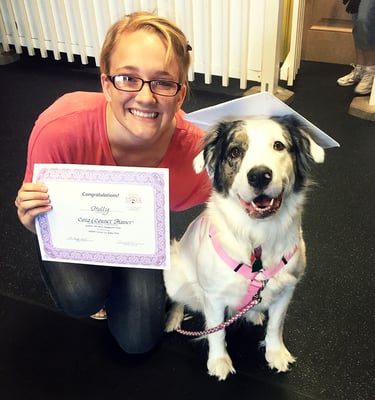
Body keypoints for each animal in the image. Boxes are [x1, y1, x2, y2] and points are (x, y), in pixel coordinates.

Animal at [164, 114, 326, 380]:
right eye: (235, 151)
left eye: (278, 145)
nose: (259, 175)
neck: (257, 236)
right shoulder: (214, 296)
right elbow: (217, 332)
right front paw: (219, 361)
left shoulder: (287, 289)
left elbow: (276, 325)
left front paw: (275, 353)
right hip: (175, 273)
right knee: (180, 298)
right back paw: (173, 317)